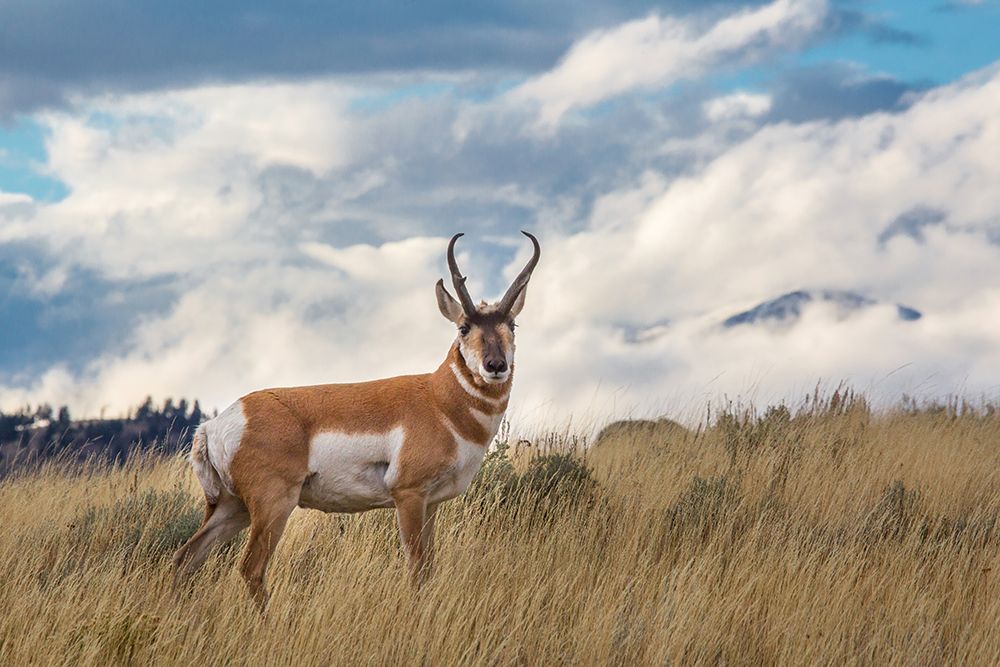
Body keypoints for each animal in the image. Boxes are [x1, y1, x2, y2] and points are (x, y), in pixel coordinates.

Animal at [172, 231, 540, 608]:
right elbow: (417, 568)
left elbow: (430, 568)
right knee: (250, 567)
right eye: (464, 327)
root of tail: (215, 425)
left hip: (232, 508)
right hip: (273, 504)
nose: (495, 366)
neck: (438, 400)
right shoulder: (409, 495)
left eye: (511, 324)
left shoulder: (432, 503)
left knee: (186, 557)